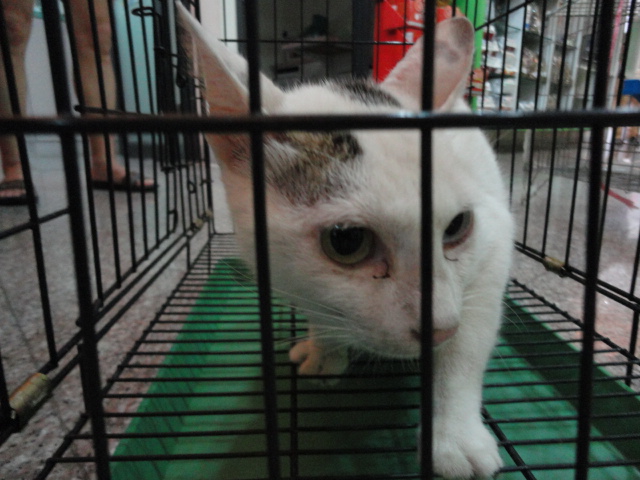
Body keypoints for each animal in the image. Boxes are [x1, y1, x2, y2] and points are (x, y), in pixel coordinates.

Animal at [177, 4, 513, 479]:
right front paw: (325, 348)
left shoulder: (494, 246)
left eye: (457, 226)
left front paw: (455, 437)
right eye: (348, 241)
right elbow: (322, 310)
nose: (440, 328)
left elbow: (465, 351)